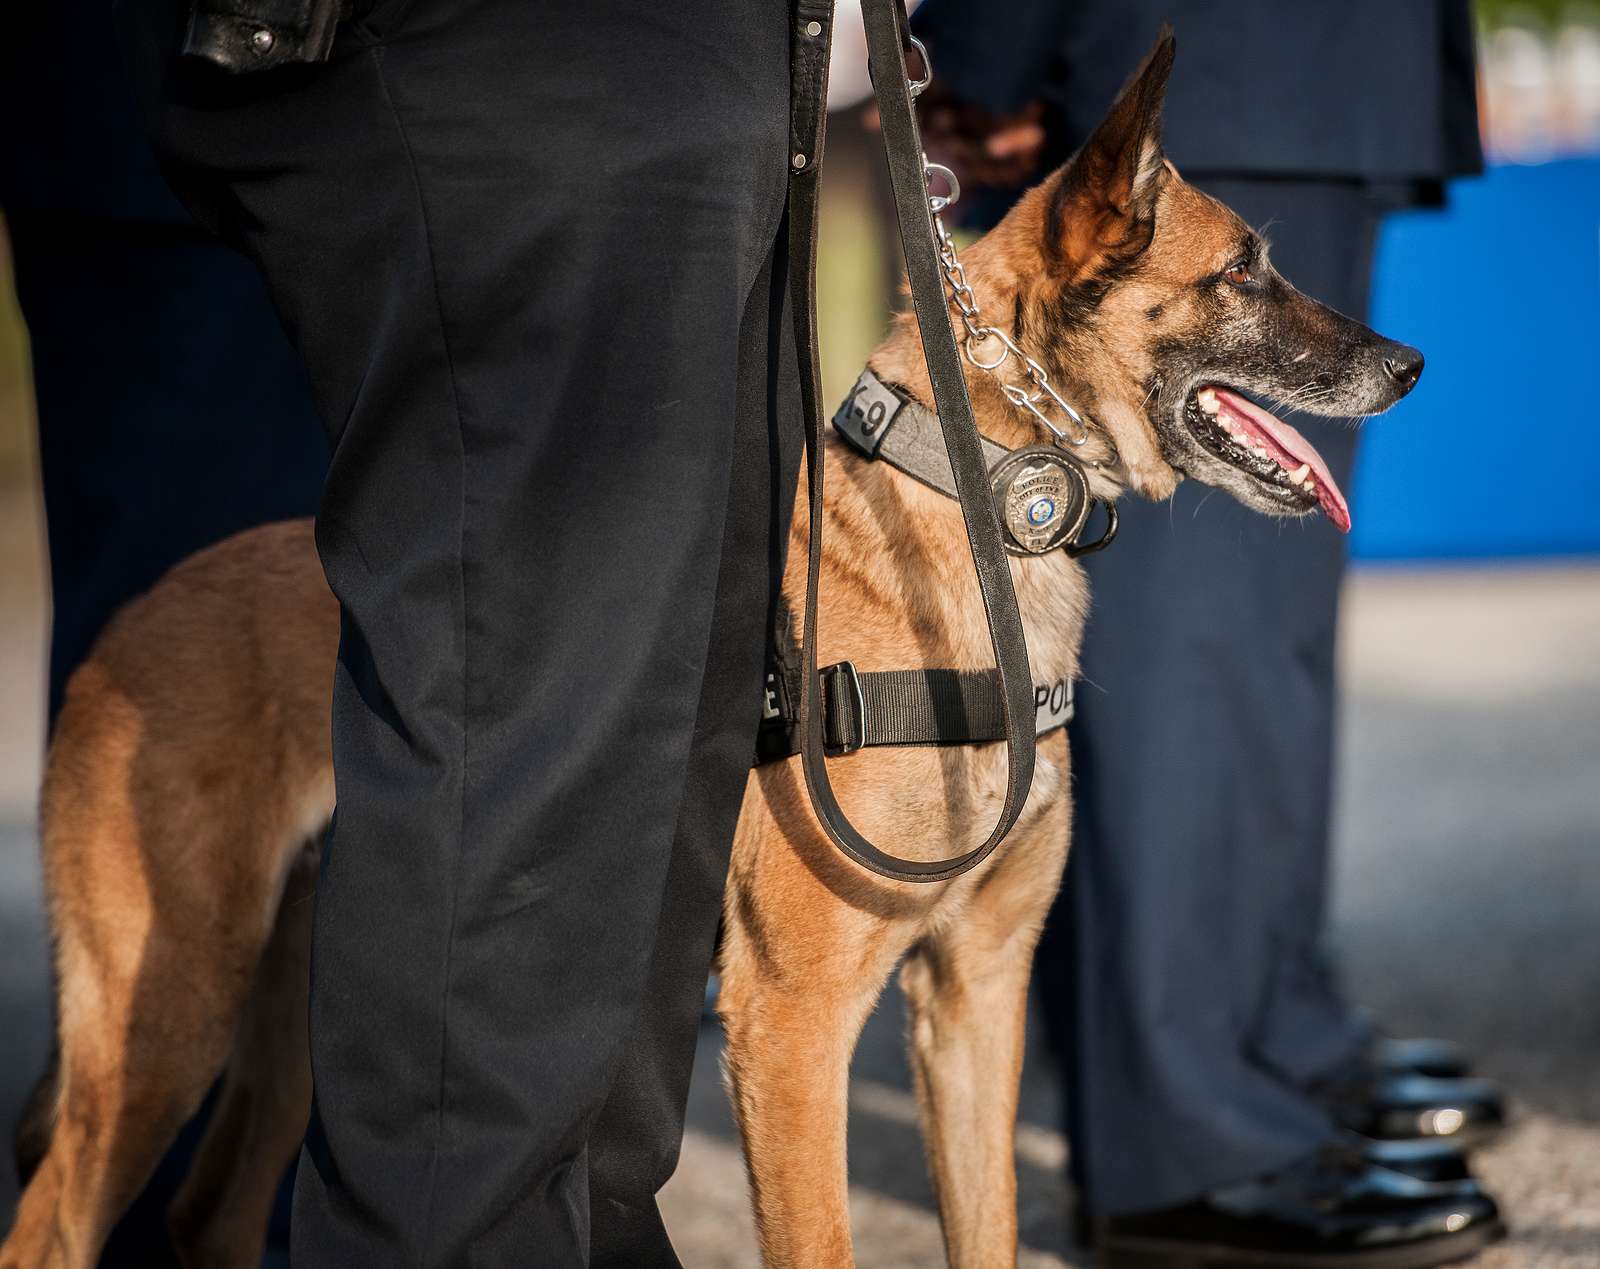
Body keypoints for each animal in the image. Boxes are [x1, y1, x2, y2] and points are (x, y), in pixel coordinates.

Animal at [3, 37, 1427, 1267]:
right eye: (1242, 270)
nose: (1411, 365)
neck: (974, 502)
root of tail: (136, 613)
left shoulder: (974, 996)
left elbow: (989, 1232)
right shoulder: (791, 1024)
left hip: (311, 1016)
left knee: (213, 1214)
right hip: (167, 1009)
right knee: (49, 1223)